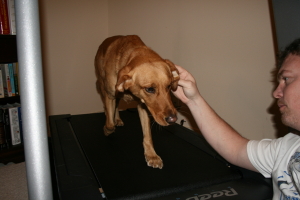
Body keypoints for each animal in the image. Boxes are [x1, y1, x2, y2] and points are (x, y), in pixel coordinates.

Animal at [94, 34, 178, 169]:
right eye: (149, 89)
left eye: (169, 86)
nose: (172, 119)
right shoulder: (110, 95)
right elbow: (110, 125)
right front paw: (107, 128)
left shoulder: (143, 106)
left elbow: (147, 135)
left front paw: (151, 155)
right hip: (102, 85)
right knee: (109, 107)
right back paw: (109, 116)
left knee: (117, 105)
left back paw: (117, 118)